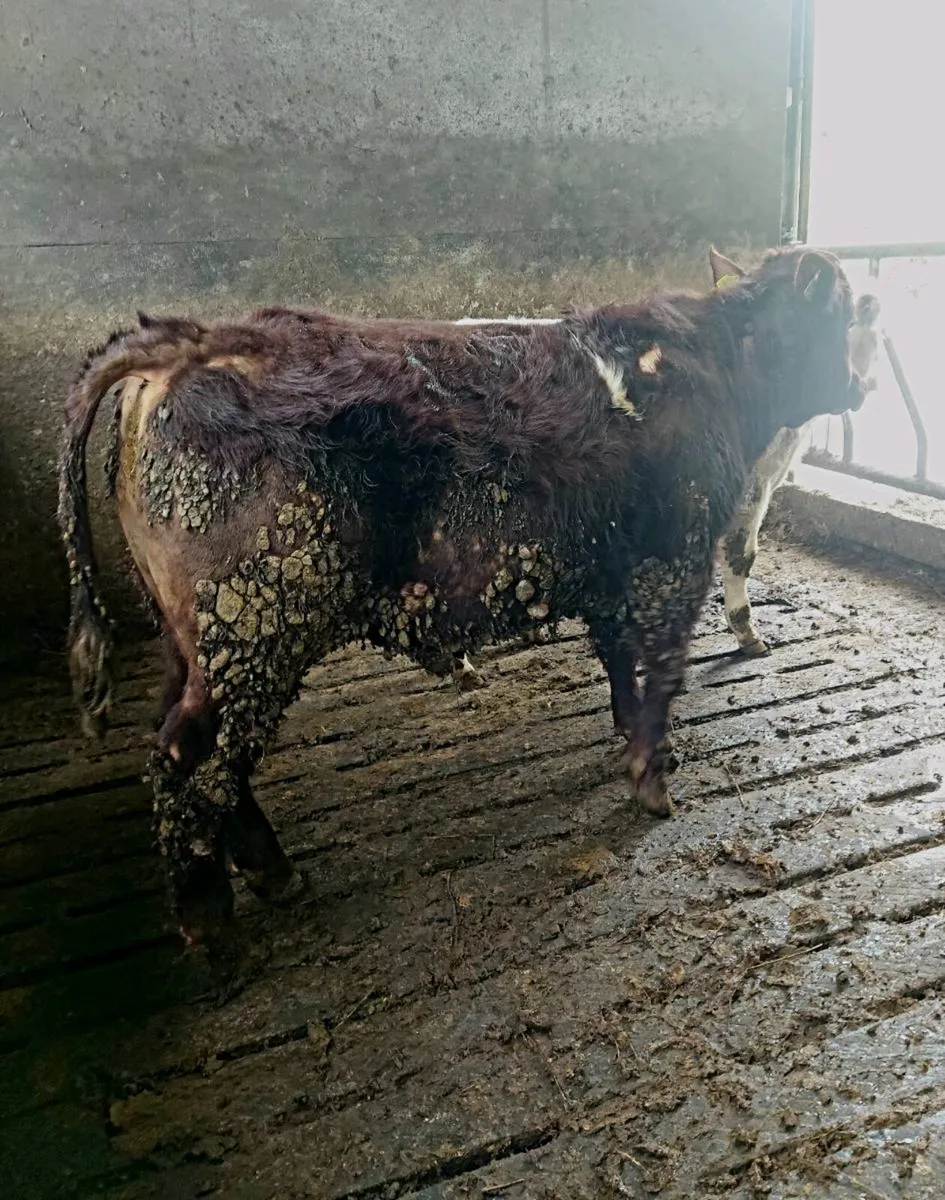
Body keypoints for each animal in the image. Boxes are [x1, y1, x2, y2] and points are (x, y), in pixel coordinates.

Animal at [59, 245, 865, 945]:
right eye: (841, 316)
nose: (860, 385)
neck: (717, 362)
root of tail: (190, 339)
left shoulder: (613, 567)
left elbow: (618, 662)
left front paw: (629, 734)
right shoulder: (677, 558)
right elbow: (663, 670)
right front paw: (652, 781)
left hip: (195, 641)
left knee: (204, 756)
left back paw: (273, 876)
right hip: (255, 625)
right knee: (188, 763)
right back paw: (209, 916)